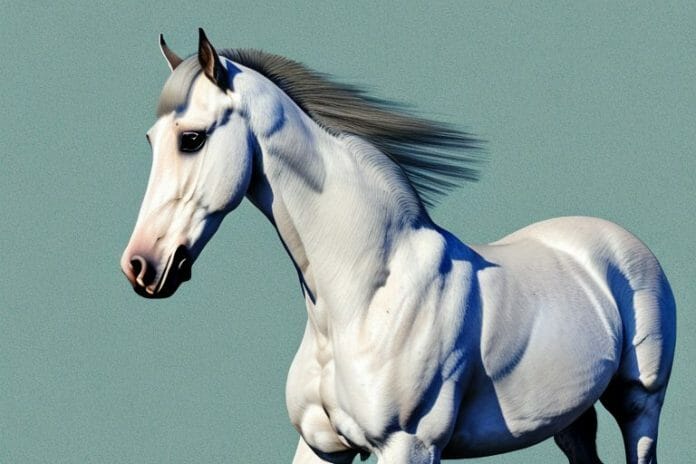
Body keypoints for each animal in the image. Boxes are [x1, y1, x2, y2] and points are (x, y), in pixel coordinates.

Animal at [120, 29, 676, 464]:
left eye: (191, 139)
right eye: (150, 140)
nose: (141, 267)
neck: (365, 297)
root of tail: (619, 244)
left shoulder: (409, 445)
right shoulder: (321, 445)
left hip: (640, 405)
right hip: (569, 418)